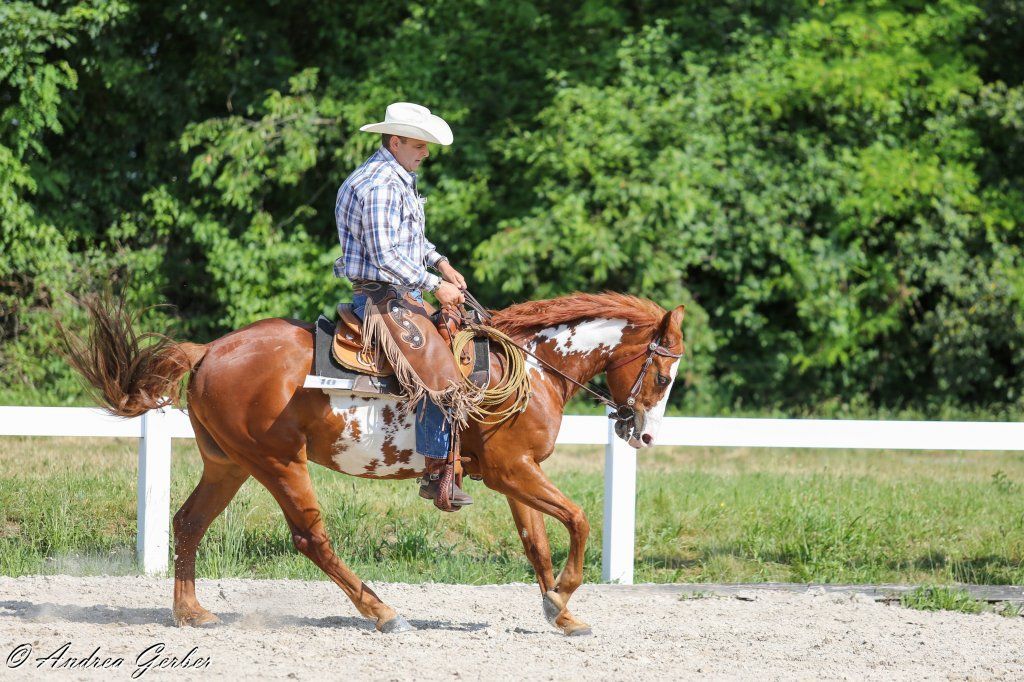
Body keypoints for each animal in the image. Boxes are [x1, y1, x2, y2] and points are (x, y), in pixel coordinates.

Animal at [59, 291, 684, 636]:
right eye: (662, 374)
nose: (646, 434)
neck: (531, 368)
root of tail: (208, 349)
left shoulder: (515, 475)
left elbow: (536, 542)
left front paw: (560, 611)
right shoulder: (514, 471)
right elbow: (577, 518)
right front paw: (564, 596)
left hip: (228, 464)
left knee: (189, 522)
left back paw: (192, 613)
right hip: (278, 462)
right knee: (311, 539)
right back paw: (382, 611)